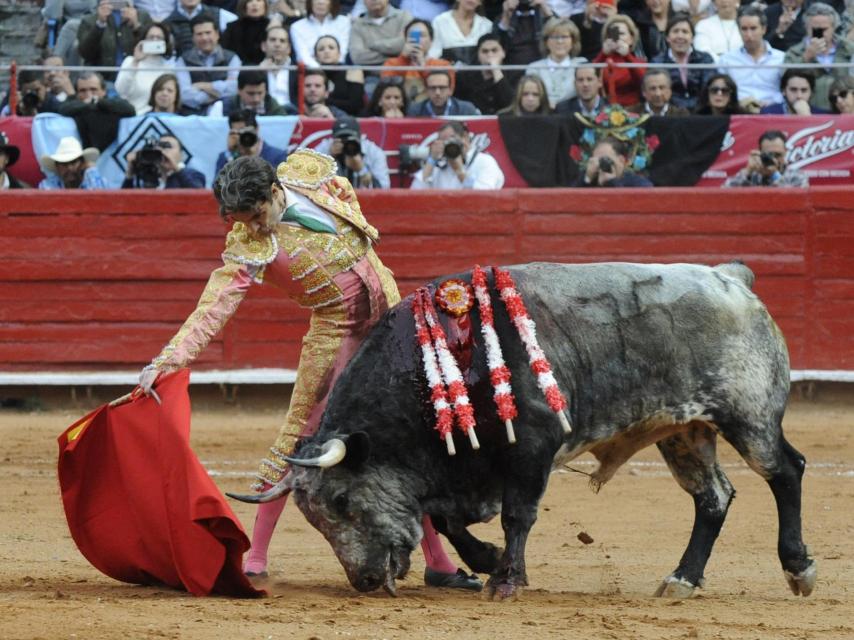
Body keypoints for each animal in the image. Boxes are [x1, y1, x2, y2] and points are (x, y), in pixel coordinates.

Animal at [231, 262, 820, 600]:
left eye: (342, 503)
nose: (367, 583)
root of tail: (732, 278)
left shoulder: (532, 448)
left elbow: (517, 515)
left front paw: (506, 579)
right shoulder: (462, 468)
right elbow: (443, 518)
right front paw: (487, 560)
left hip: (748, 416)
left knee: (785, 471)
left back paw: (797, 568)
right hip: (684, 429)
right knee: (713, 497)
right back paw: (681, 580)